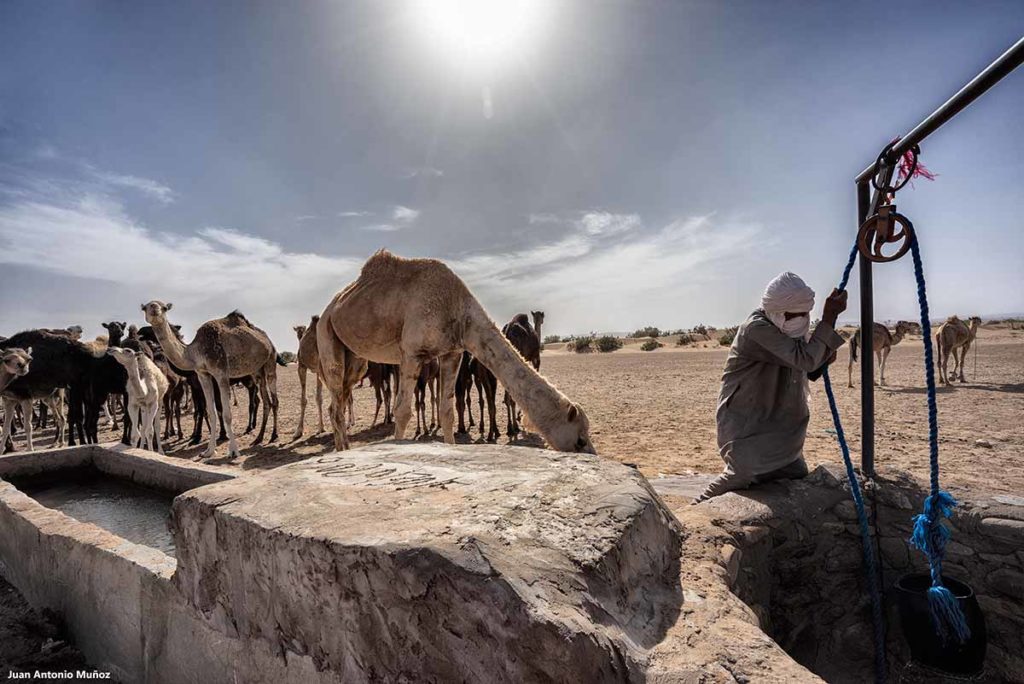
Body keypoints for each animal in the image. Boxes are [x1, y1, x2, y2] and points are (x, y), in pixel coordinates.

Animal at [142, 303, 280, 458]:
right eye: (145, 307)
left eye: (164, 308)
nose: (155, 310)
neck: (194, 351)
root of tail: (266, 338)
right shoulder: (203, 375)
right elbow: (211, 412)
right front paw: (208, 451)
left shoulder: (221, 374)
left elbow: (226, 414)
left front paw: (233, 451)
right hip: (257, 371)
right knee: (266, 401)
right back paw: (259, 438)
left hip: (270, 360)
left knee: (274, 400)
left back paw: (273, 435)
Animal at [315, 250, 598, 454]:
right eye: (580, 439)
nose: (591, 454)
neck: (459, 312)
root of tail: (329, 308)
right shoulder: (411, 352)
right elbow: (403, 411)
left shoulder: (452, 353)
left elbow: (448, 411)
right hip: (326, 334)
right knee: (335, 400)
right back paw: (341, 452)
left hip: (355, 359)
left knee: (338, 400)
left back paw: (344, 449)